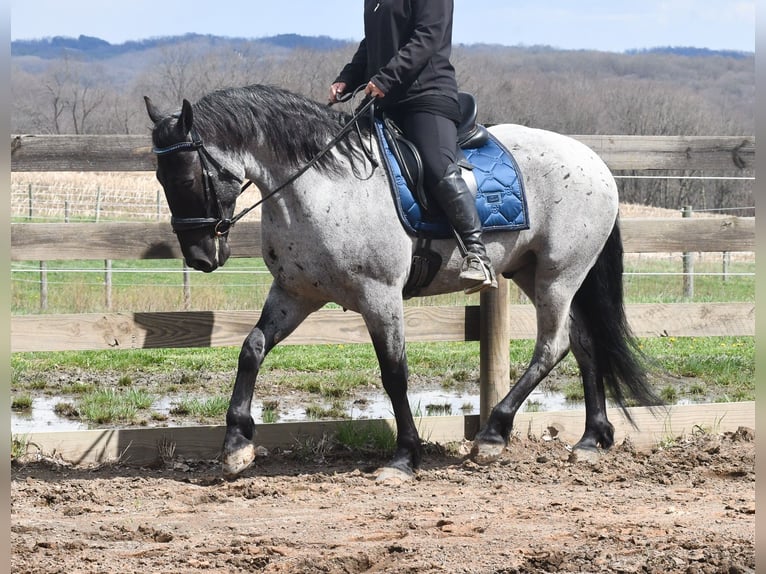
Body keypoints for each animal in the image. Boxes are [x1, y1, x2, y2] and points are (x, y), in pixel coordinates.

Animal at [144, 84, 659, 480]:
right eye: (160, 178)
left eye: (186, 177)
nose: (200, 257)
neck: (322, 185)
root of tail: (595, 161)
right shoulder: (295, 294)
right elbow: (251, 349)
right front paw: (236, 444)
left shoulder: (380, 296)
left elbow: (394, 373)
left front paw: (405, 456)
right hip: (535, 274)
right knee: (585, 342)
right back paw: (591, 439)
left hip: (559, 275)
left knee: (553, 347)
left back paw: (493, 435)